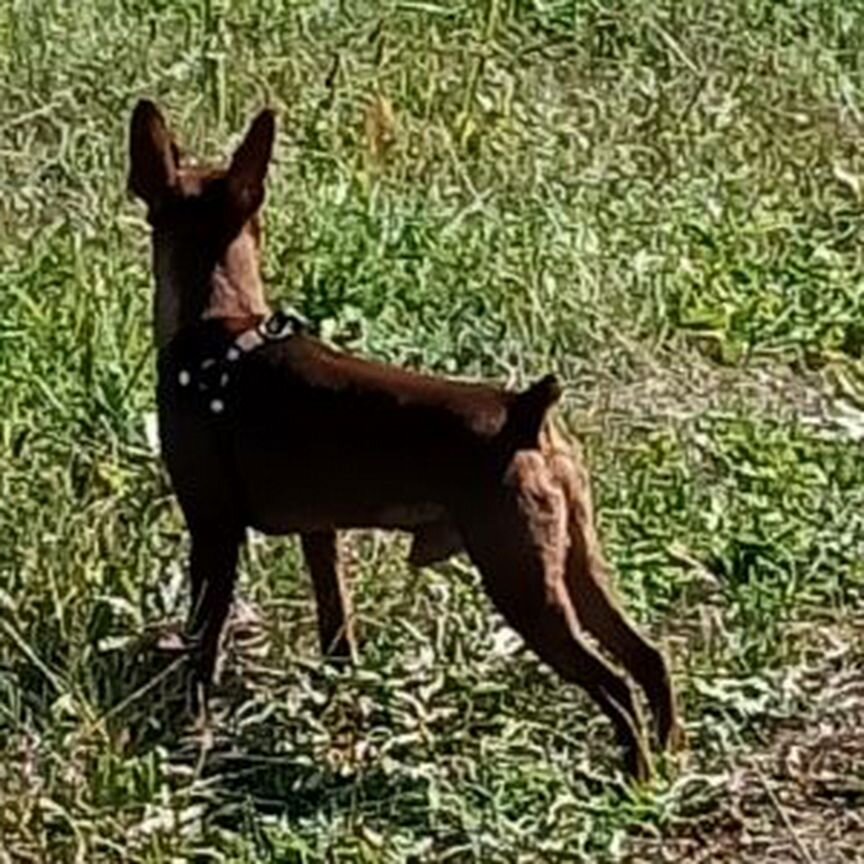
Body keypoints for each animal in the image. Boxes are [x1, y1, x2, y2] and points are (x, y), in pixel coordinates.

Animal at [128, 101, 680, 784]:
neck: (220, 327)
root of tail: (526, 412)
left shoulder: (213, 531)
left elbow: (203, 638)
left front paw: (189, 719)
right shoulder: (320, 531)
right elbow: (336, 620)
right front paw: (340, 690)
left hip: (521, 581)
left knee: (615, 684)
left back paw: (635, 775)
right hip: (575, 562)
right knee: (648, 656)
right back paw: (670, 755)